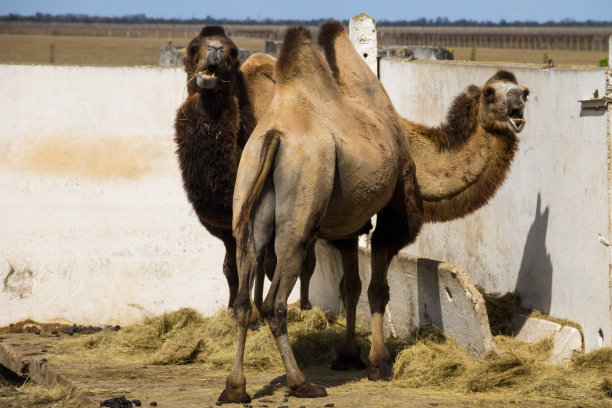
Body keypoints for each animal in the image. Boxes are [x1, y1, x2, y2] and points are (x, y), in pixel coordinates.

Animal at [172, 27, 316, 316]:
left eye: (233, 51)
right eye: (193, 48)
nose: (215, 48)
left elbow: (257, 266)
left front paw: (255, 312)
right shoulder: (227, 227)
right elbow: (231, 268)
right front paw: (231, 309)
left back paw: (305, 306)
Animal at [220, 22, 426, 402]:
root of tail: (273, 136)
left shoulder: (348, 226)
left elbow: (352, 285)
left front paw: (350, 358)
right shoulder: (397, 199)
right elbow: (377, 285)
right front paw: (379, 364)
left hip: (248, 196)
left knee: (243, 299)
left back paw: (235, 388)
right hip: (300, 207)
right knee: (274, 303)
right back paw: (301, 383)